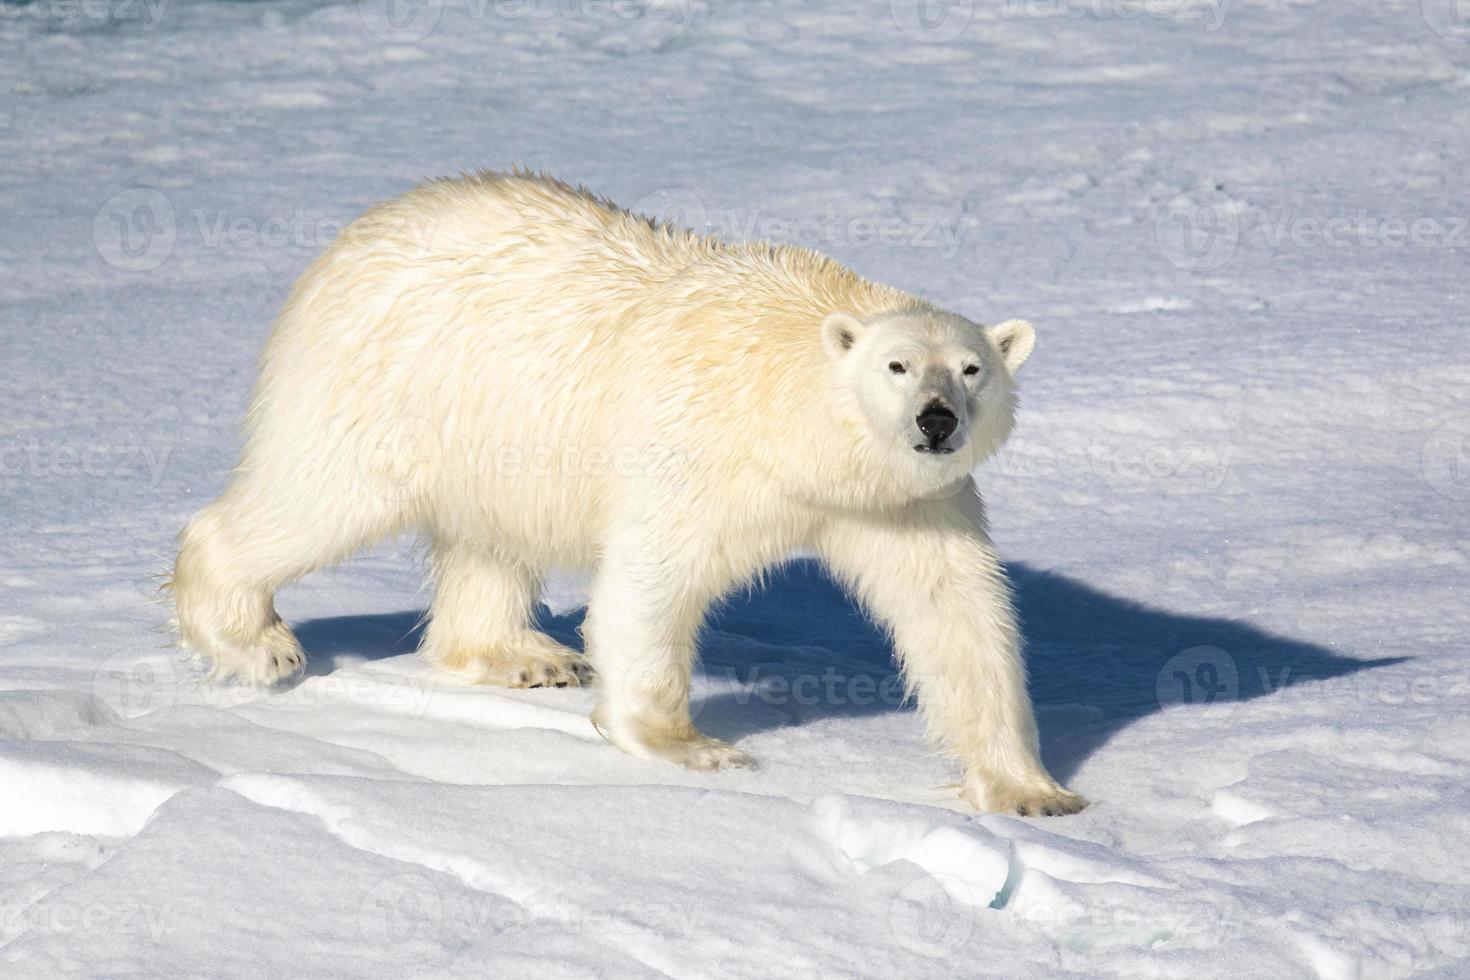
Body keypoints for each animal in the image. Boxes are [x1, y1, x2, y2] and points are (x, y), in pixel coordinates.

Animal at [171, 172, 1087, 816]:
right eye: (896, 365)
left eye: (972, 368)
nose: (937, 420)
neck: (788, 410)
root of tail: (349, 238)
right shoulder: (701, 452)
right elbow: (652, 581)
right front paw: (694, 746)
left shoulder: (905, 502)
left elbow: (956, 611)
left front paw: (1031, 791)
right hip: (385, 384)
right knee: (317, 495)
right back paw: (255, 640)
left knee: (490, 540)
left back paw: (526, 656)